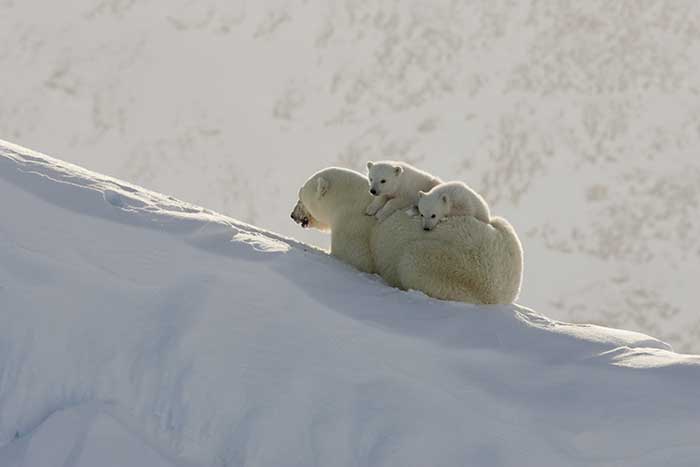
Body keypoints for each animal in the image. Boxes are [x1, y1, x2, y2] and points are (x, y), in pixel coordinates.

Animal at [292, 166, 524, 306]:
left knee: (413, 262)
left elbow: (355, 258)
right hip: (506, 235)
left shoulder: (354, 226)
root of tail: (506, 290)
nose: (293, 215)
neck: (349, 199)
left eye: (300, 196)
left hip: (453, 266)